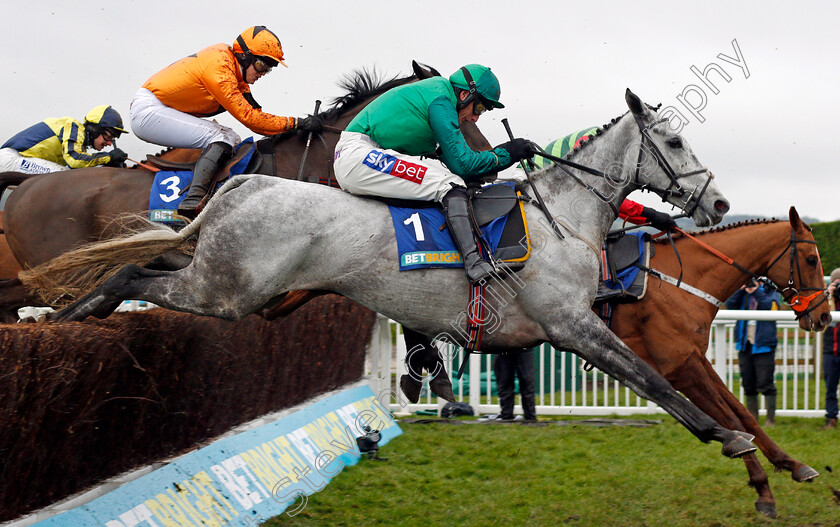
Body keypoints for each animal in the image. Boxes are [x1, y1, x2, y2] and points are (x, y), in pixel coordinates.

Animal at [21, 89, 768, 478]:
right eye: (673, 142)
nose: (719, 203)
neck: (563, 218)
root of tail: (246, 182)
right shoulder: (571, 326)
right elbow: (654, 380)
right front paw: (725, 434)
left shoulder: (582, 326)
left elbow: (657, 375)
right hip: (226, 292)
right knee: (130, 271)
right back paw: (67, 317)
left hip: (221, 276)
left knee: (141, 268)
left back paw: (73, 313)